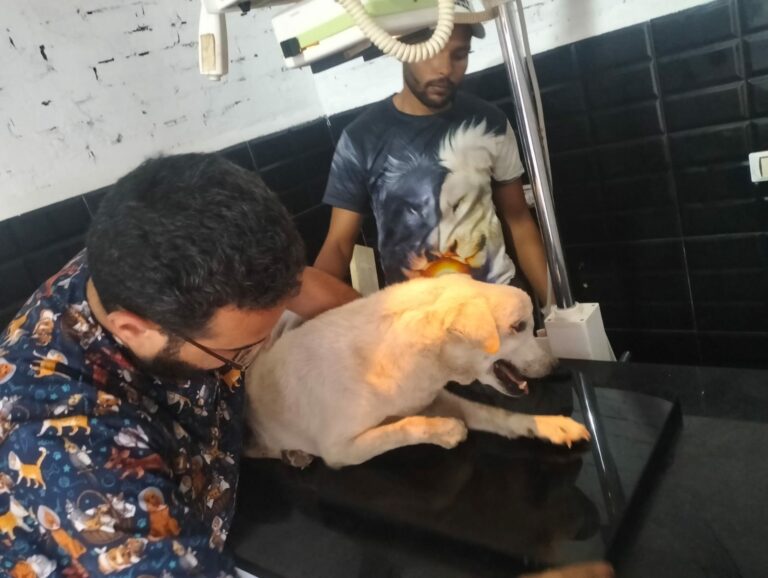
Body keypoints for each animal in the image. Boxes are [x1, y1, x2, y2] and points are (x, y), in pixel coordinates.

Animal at [244, 275, 589, 469]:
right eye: (519, 326)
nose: (557, 365)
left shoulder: (433, 396)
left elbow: (494, 414)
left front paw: (550, 425)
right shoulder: (339, 448)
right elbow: (403, 428)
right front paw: (447, 430)